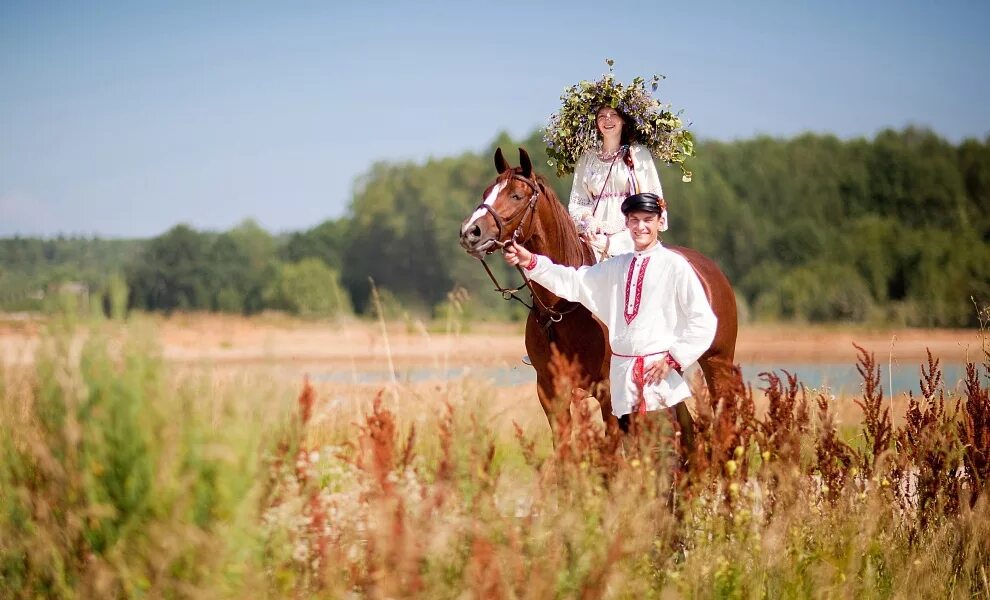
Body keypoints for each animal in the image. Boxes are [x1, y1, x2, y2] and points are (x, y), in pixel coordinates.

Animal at [460, 148, 736, 442]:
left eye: (516, 195)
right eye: (487, 192)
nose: (470, 232)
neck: (563, 308)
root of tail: (711, 269)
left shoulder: (608, 391)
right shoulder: (550, 392)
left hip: (718, 363)